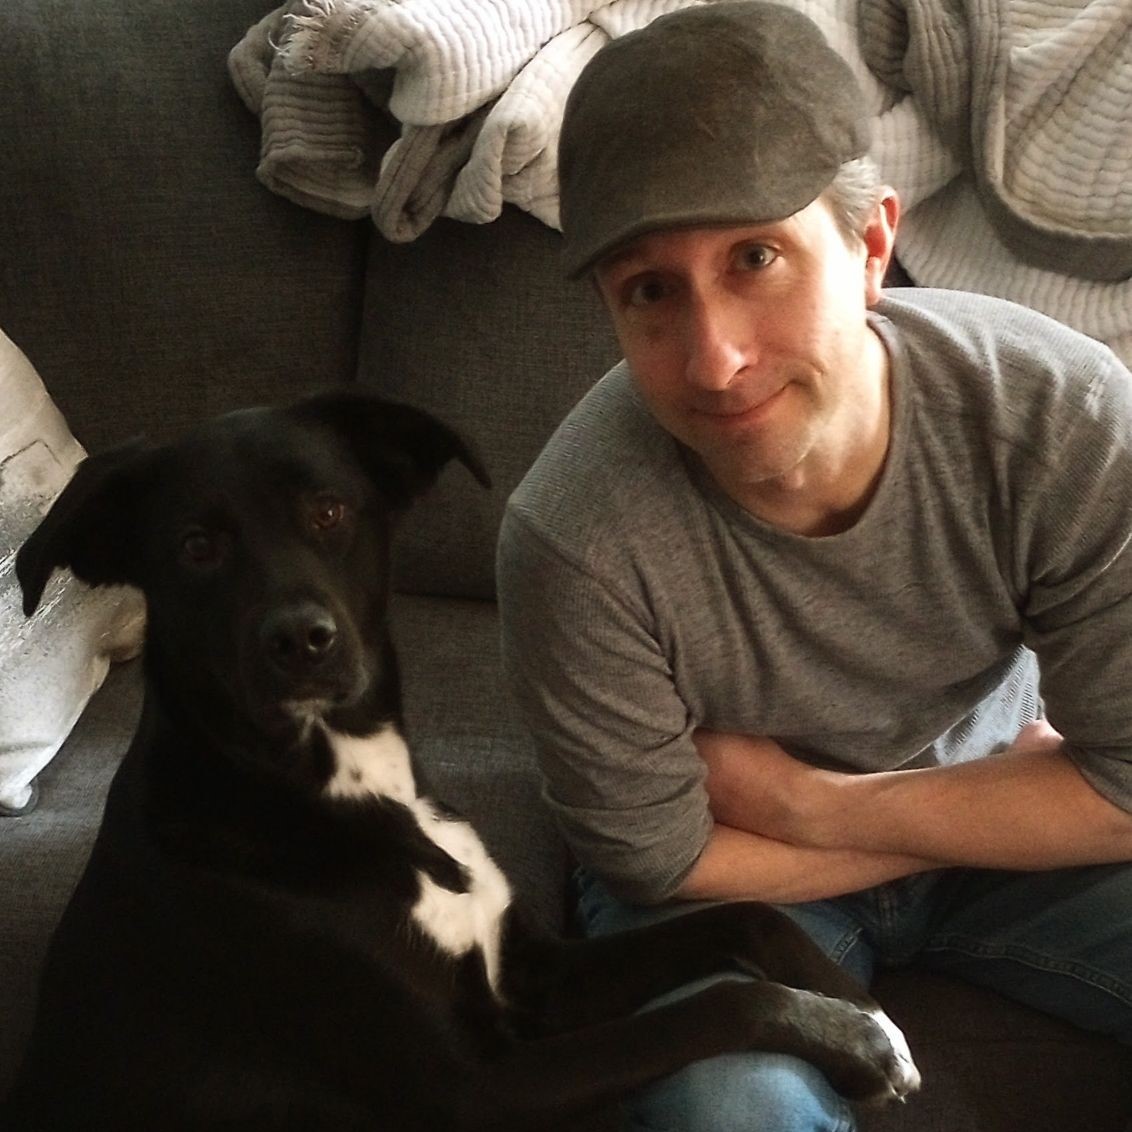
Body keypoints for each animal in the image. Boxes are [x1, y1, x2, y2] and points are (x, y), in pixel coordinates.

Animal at [6, 393, 919, 1127]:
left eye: (328, 511)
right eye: (196, 547)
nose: (300, 642)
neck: (345, 787)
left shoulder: (533, 976)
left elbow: (747, 917)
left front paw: (859, 1008)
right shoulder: (471, 1089)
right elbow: (709, 1010)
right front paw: (854, 1043)